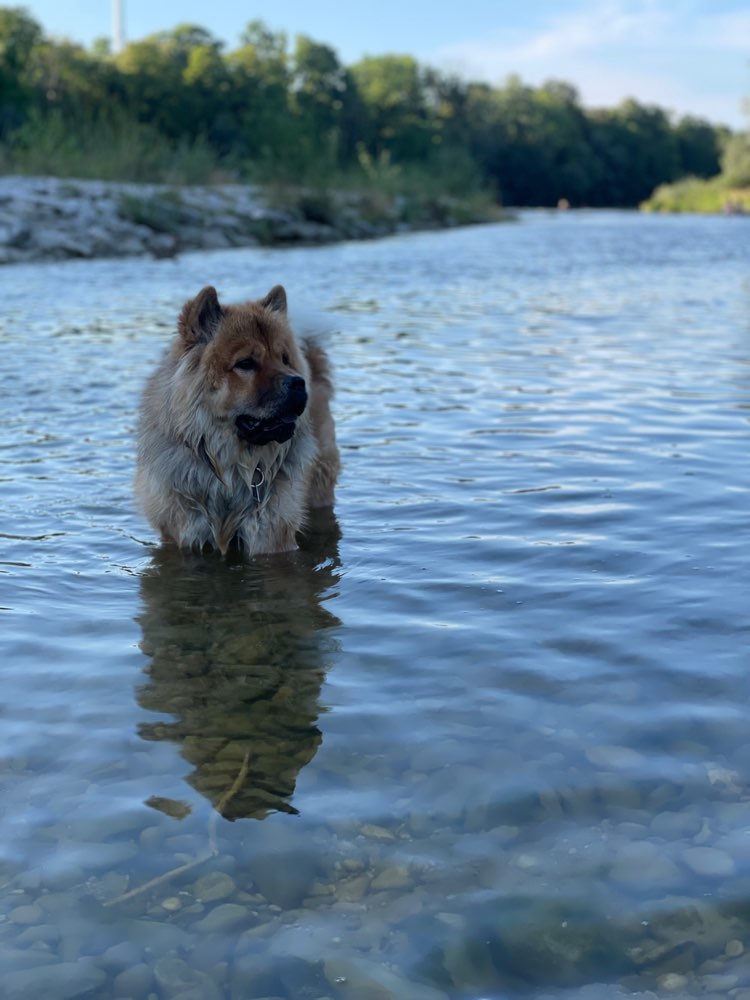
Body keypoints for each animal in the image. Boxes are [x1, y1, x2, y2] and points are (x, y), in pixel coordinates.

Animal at [135, 284, 340, 556]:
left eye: (284, 359)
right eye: (246, 363)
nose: (297, 383)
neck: (228, 467)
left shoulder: (270, 534)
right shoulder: (183, 531)